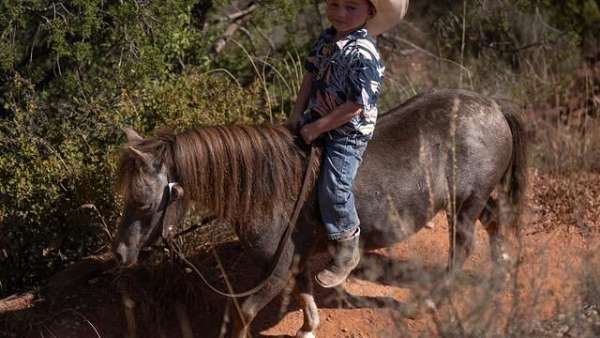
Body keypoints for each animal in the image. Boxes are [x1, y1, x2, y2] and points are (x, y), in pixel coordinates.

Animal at [111, 88, 524, 336]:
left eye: (144, 202)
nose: (120, 254)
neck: (266, 186)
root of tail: (493, 106)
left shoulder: (276, 268)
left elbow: (245, 312)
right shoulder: (294, 259)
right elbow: (304, 292)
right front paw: (309, 326)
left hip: (464, 205)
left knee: (464, 247)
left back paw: (427, 302)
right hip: (477, 200)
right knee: (495, 225)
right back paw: (500, 276)